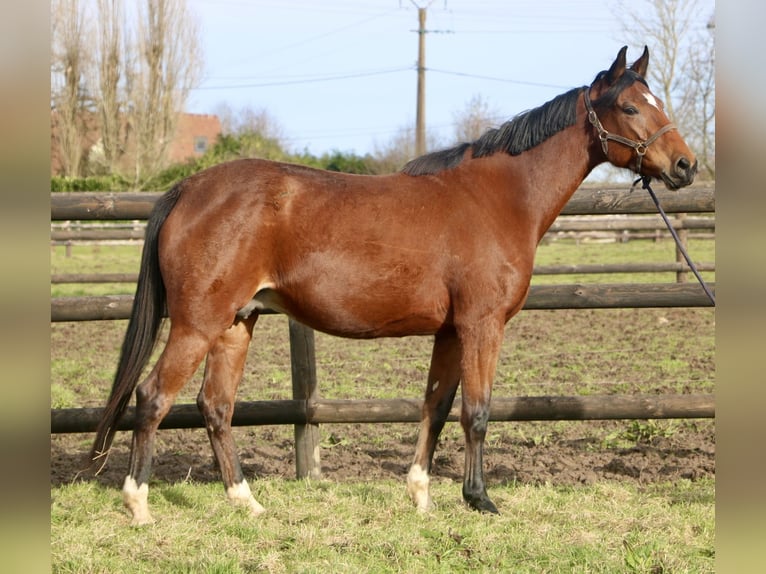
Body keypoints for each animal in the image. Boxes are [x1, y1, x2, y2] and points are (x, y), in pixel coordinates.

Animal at [87, 48, 700, 528]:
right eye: (629, 107)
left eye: (658, 101)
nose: (686, 165)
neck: (498, 198)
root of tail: (190, 187)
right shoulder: (481, 326)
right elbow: (477, 411)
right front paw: (479, 500)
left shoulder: (450, 332)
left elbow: (437, 405)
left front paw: (421, 495)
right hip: (197, 324)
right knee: (153, 397)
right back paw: (139, 506)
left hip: (238, 323)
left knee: (215, 406)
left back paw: (247, 503)